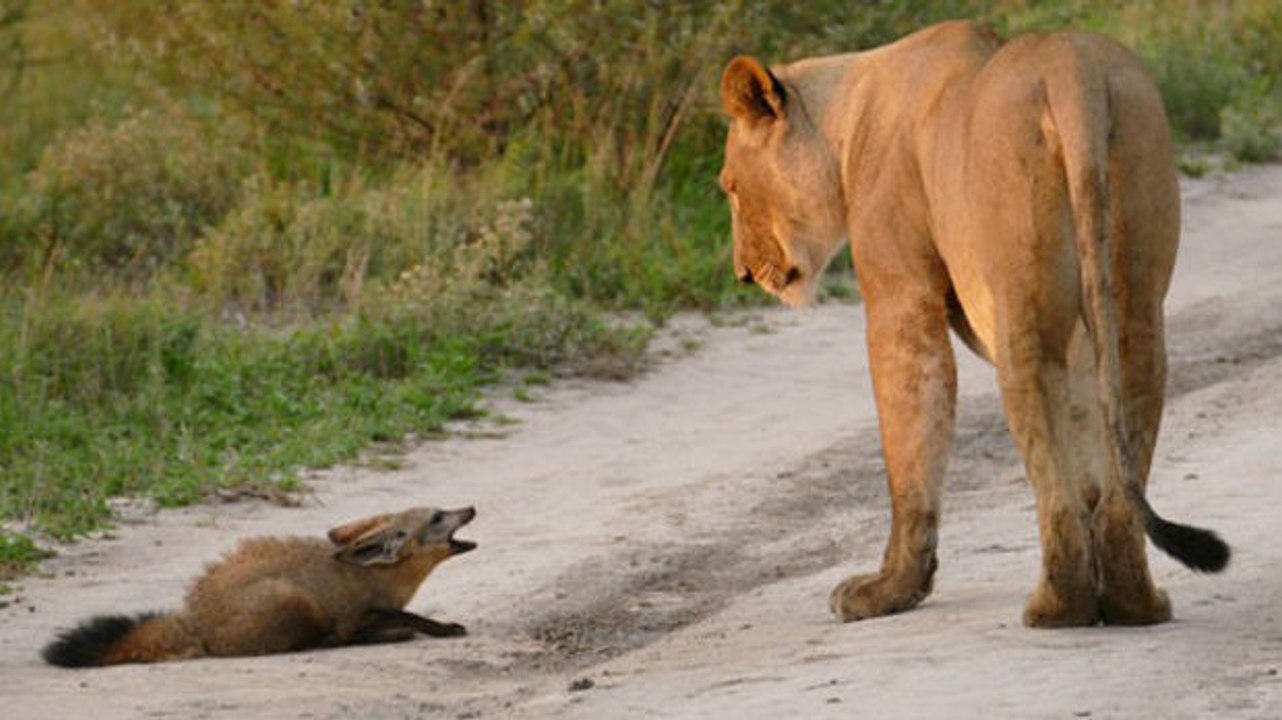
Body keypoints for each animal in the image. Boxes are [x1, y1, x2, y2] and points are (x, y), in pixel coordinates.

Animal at [42, 506, 477, 667]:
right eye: (438, 517)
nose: (470, 508)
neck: (377, 576)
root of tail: (193, 622)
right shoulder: (354, 616)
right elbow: (407, 616)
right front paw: (442, 628)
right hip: (292, 598)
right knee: (317, 643)